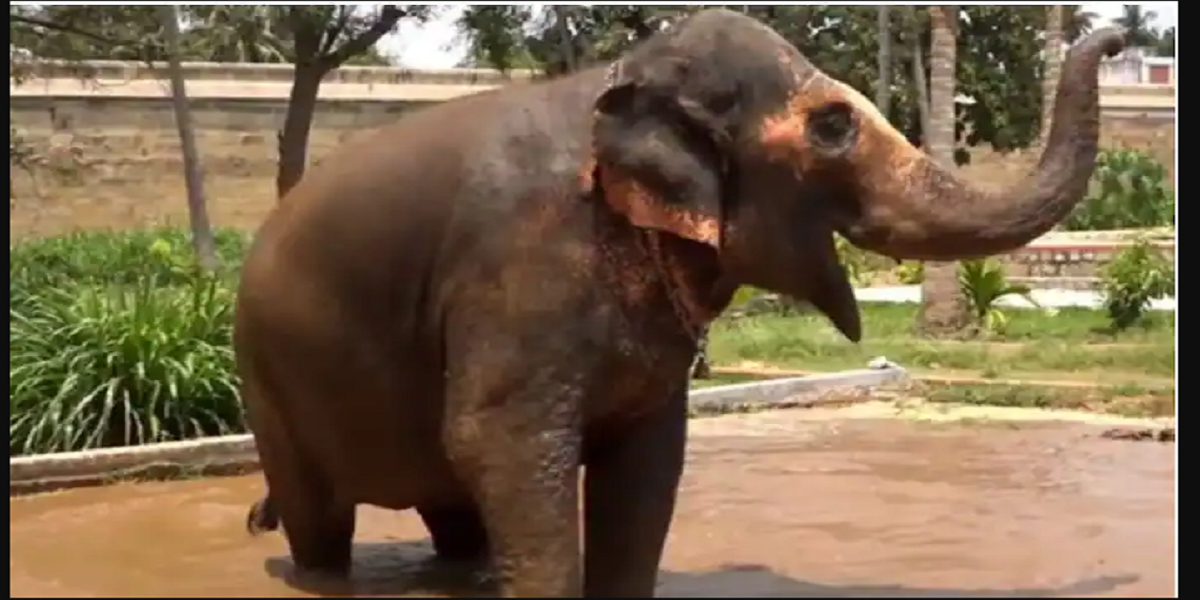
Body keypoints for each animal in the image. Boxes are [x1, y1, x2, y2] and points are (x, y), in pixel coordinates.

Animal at [235, 9, 1125, 597]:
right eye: (834, 127)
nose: (1117, 36)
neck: (618, 82)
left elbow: (648, 458)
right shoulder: (517, 264)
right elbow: (498, 440)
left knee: (451, 508)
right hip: (268, 382)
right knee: (323, 522)